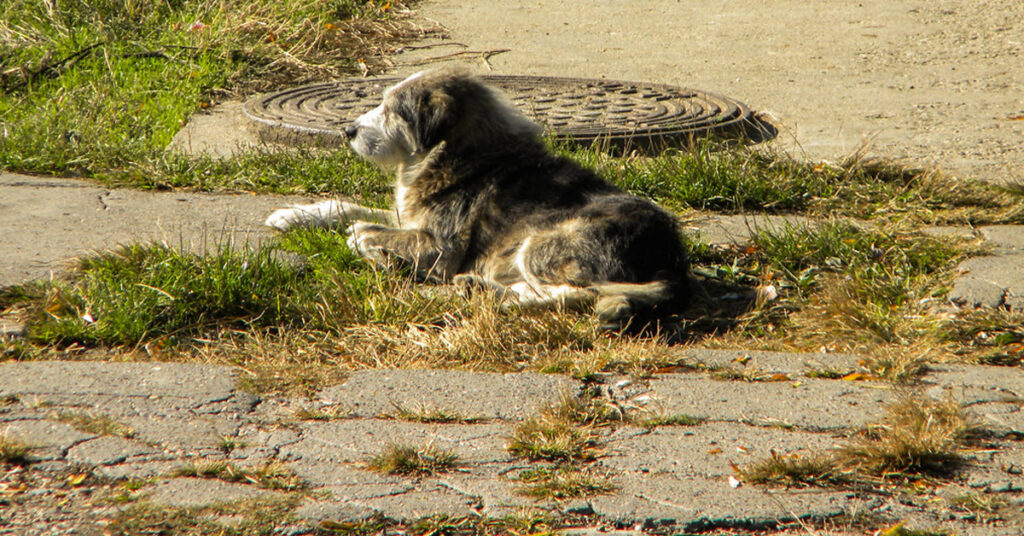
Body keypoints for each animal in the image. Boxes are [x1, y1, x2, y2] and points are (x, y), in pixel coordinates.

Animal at [268, 68, 692, 327]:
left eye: (394, 112)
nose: (348, 131)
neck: (454, 154)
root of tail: (672, 261)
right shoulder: (411, 216)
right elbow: (349, 207)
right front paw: (294, 215)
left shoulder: (440, 247)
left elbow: (364, 230)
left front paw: (372, 246)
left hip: (546, 243)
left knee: (574, 293)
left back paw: (497, 294)